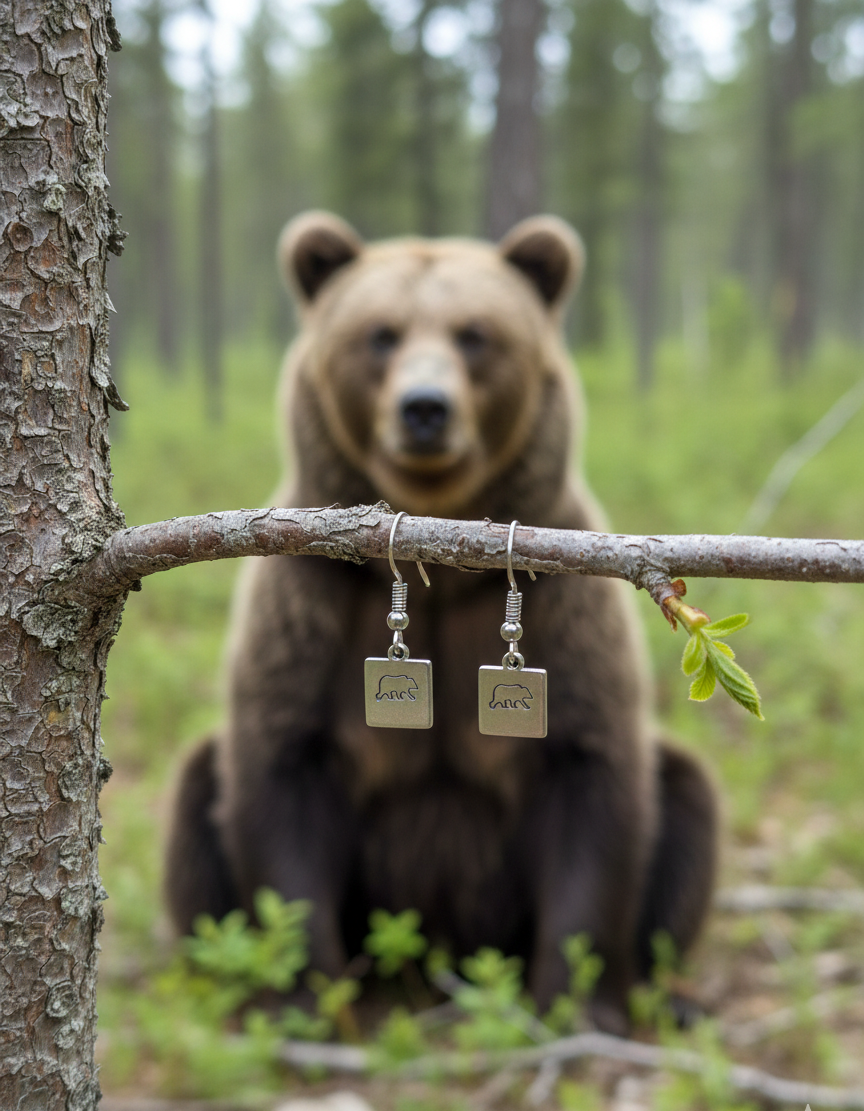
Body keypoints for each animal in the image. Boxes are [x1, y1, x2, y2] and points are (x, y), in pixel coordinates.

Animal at [165, 210, 718, 1033]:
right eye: (381, 334)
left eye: (475, 334)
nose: (424, 407)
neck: (443, 555)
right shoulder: (314, 602)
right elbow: (280, 779)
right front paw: (307, 999)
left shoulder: (563, 603)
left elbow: (592, 781)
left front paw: (579, 1005)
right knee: (194, 807)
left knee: (688, 800)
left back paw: (676, 997)